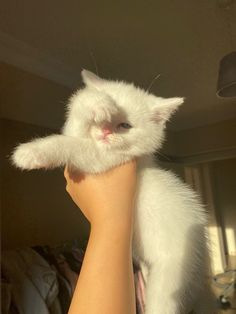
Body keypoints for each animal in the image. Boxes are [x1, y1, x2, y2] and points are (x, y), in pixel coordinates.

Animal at [11, 70, 214, 312]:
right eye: (102, 123)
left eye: (125, 125)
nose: (105, 132)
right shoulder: (82, 133)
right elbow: (75, 121)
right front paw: (97, 102)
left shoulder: (108, 160)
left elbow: (75, 146)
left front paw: (32, 152)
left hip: (173, 279)